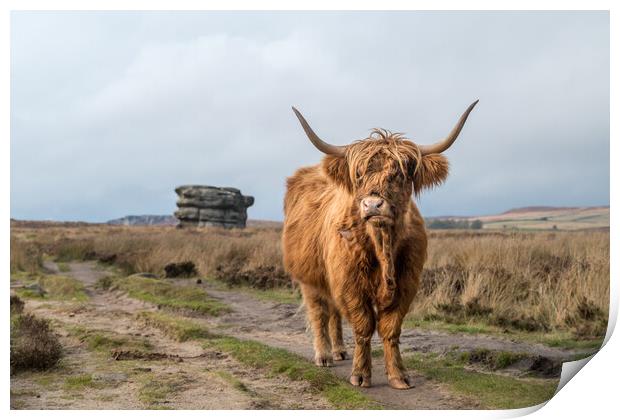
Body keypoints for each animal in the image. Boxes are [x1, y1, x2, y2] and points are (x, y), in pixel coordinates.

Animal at [282, 100, 480, 388]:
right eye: (359, 175)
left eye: (399, 174)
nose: (373, 205)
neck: (382, 244)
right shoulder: (350, 282)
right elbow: (363, 325)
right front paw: (360, 375)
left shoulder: (407, 283)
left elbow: (390, 327)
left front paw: (398, 375)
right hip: (309, 277)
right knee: (319, 312)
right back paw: (324, 355)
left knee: (334, 313)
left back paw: (339, 351)